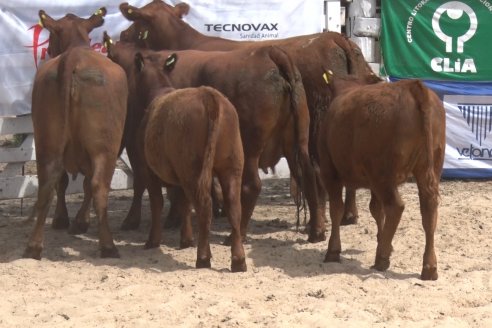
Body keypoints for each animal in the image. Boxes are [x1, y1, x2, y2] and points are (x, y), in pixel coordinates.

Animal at [23, 8, 128, 258]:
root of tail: (74, 57)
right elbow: (86, 185)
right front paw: (79, 222)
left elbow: (66, 182)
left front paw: (67, 220)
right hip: (105, 148)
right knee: (98, 186)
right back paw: (108, 245)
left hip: (46, 142)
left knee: (48, 183)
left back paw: (34, 246)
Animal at [105, 36, 318, 246]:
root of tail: (270, 52)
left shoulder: (136, 146)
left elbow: (143, 183)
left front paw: (134, 220)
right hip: (297, 143)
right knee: (309, 176)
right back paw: (316, 230)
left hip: (251, 148)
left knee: (251, 186)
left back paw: (235, 235)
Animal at [119, 0, 376, 237]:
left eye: (136, 20)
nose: (122, 35)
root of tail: (335, 37)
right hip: (301, 136)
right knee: (315, 174)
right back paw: (326, 225)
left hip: (264, 140)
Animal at [133, 50, 246, 272]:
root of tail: (209, 96)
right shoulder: (179, 175)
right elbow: (183, 204)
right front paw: (186, 240)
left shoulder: (148, 171)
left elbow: (158, 203)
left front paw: (153, 240)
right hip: (230, 167)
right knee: (234, 207)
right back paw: (238, 260)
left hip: (193, 171)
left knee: (204, 207)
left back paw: (203, 257)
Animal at [318, 72, 448, 282]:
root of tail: (413, 87)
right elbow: (376, 210)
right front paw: (383, 241)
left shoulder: (330, 172)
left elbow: (336, 210)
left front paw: (333, 251)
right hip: (428, 167)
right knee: (428, 210)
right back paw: (429, 267)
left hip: (382, 175)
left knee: (396, 207)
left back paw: (382, 258)